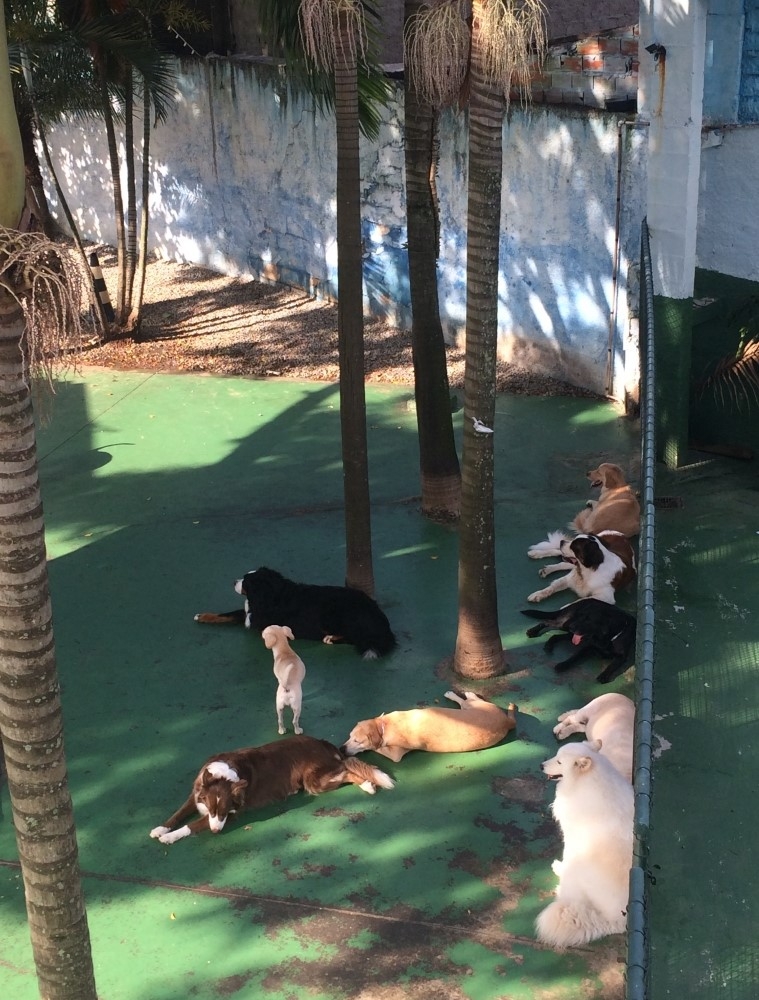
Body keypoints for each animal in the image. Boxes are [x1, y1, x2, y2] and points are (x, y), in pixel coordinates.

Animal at [151, 736, 394, 844]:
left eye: (224, 812)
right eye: (211, 810)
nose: (216, 832)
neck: (223, 775)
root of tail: (325, 743)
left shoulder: (233, 814)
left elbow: (190, 825)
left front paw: (170, 837)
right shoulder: (195, 796)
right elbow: (178, 814)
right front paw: (161, 829)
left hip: (315, 781)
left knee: (348, 771)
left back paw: (368, 784)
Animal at [196, 568, 398, 660]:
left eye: (245, 581)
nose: (233, 581)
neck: (273, 594)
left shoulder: (259, 620)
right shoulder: (250, 613)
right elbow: (228, 614)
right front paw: (204, 616)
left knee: (355, 637)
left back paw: (331, 638)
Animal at [342, 692, 520, 760]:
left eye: (358, 741)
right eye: (349, 736)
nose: (341, 749)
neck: (383, 726)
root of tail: (507, 722)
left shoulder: (395, 754)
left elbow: (376, 748)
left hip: (472, 706)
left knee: (467, 699)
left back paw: (462, 693)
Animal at [536, 740, 636, 948]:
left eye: (559, 761)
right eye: (556, 756)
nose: (541, 765)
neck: (586, 780)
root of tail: (618, 920)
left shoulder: (571, 837)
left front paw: (559, 866)